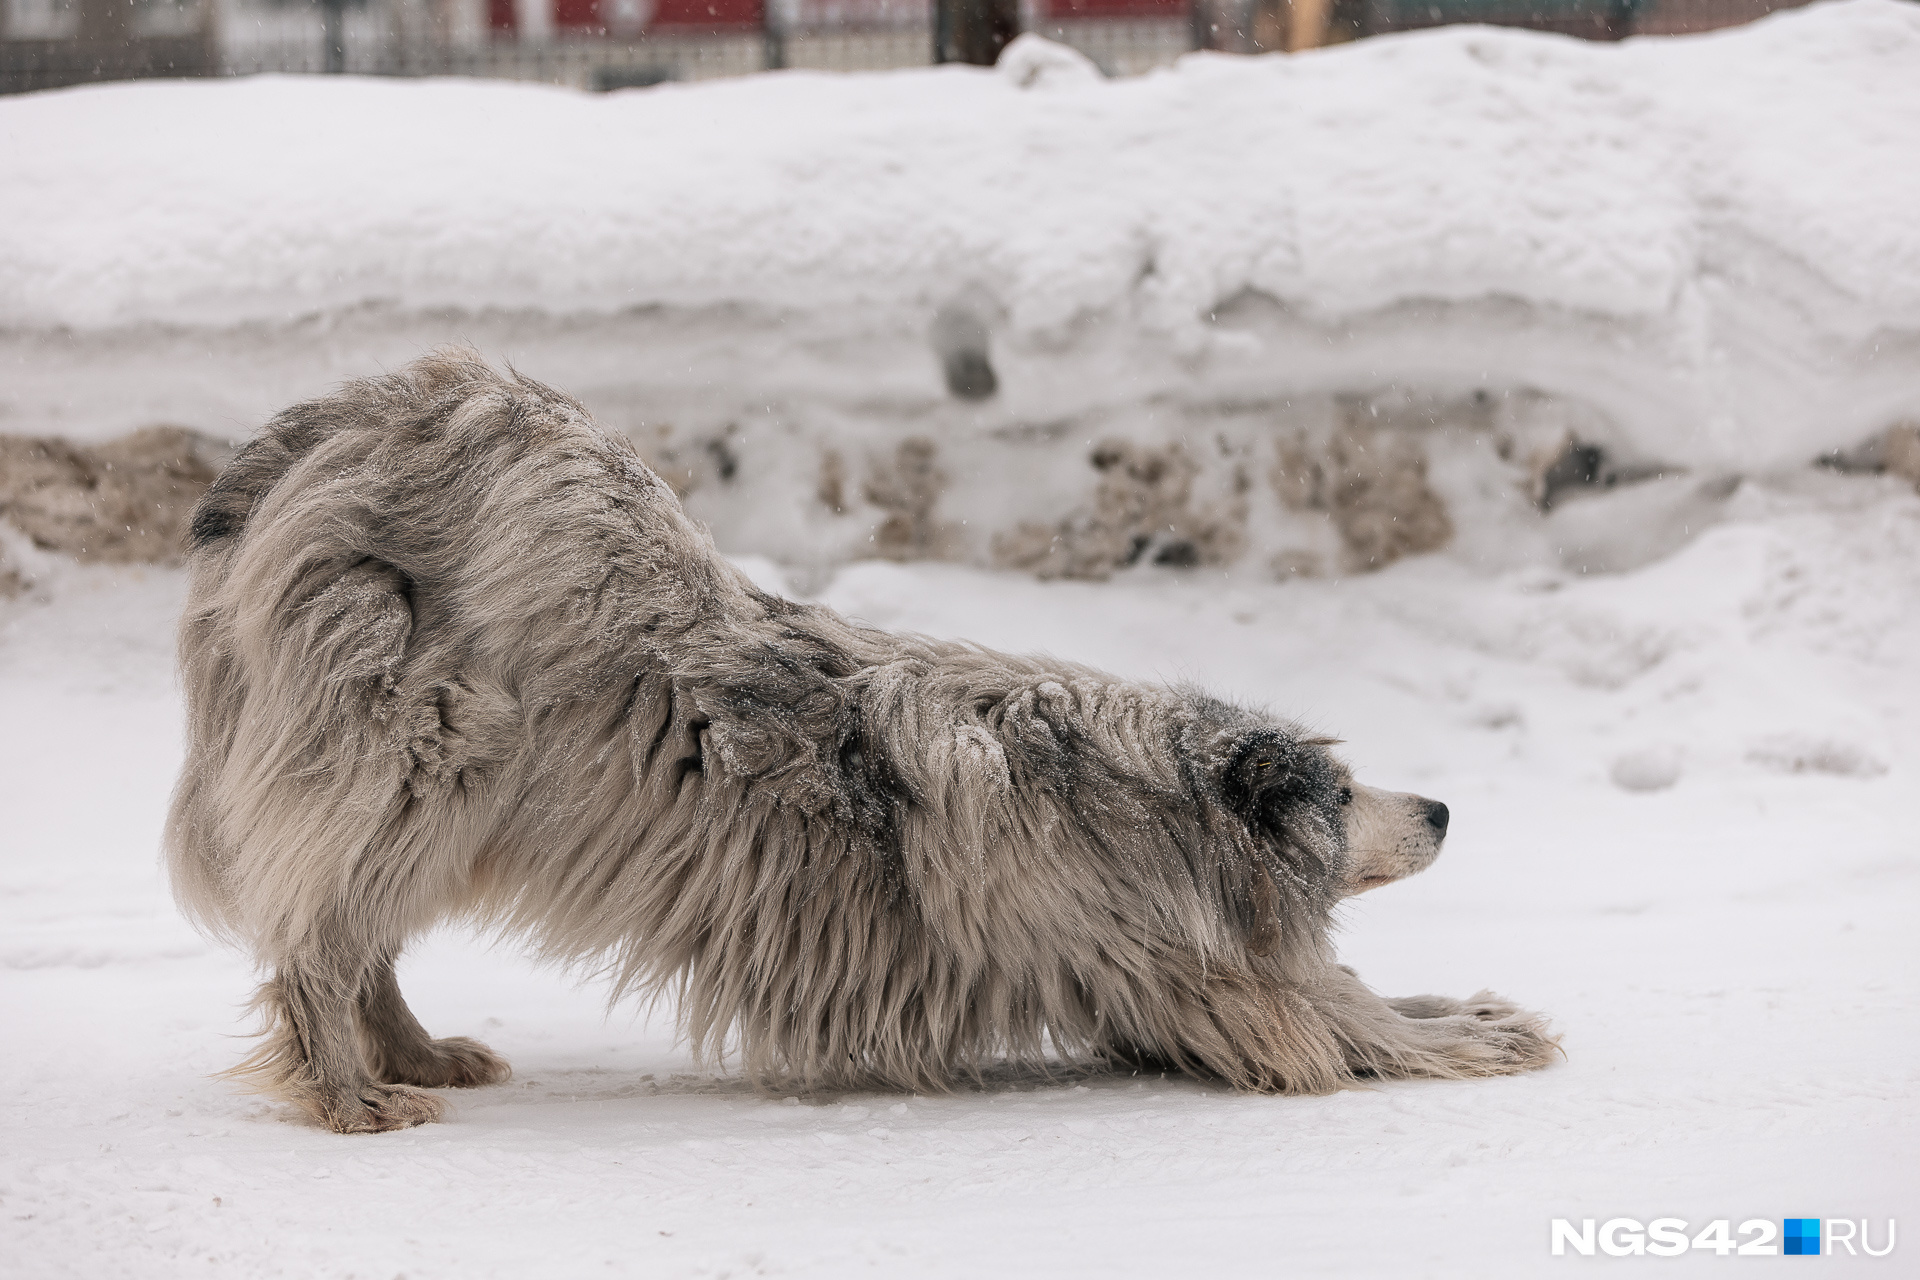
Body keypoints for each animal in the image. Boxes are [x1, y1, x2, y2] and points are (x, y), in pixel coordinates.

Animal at [168, 351, 1559, 1128]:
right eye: (1345, 791)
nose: (1445, 807)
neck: (1159, 803)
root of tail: (363, 416)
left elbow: (1366, 999)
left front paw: (1466, 1006)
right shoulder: (1206, 982)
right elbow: (1356, 1019)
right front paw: (1483, 1030)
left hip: (443, 802)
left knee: (360, 934)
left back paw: (414, 1049)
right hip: (423, 764)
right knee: (320, 941)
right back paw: (351, 1089)